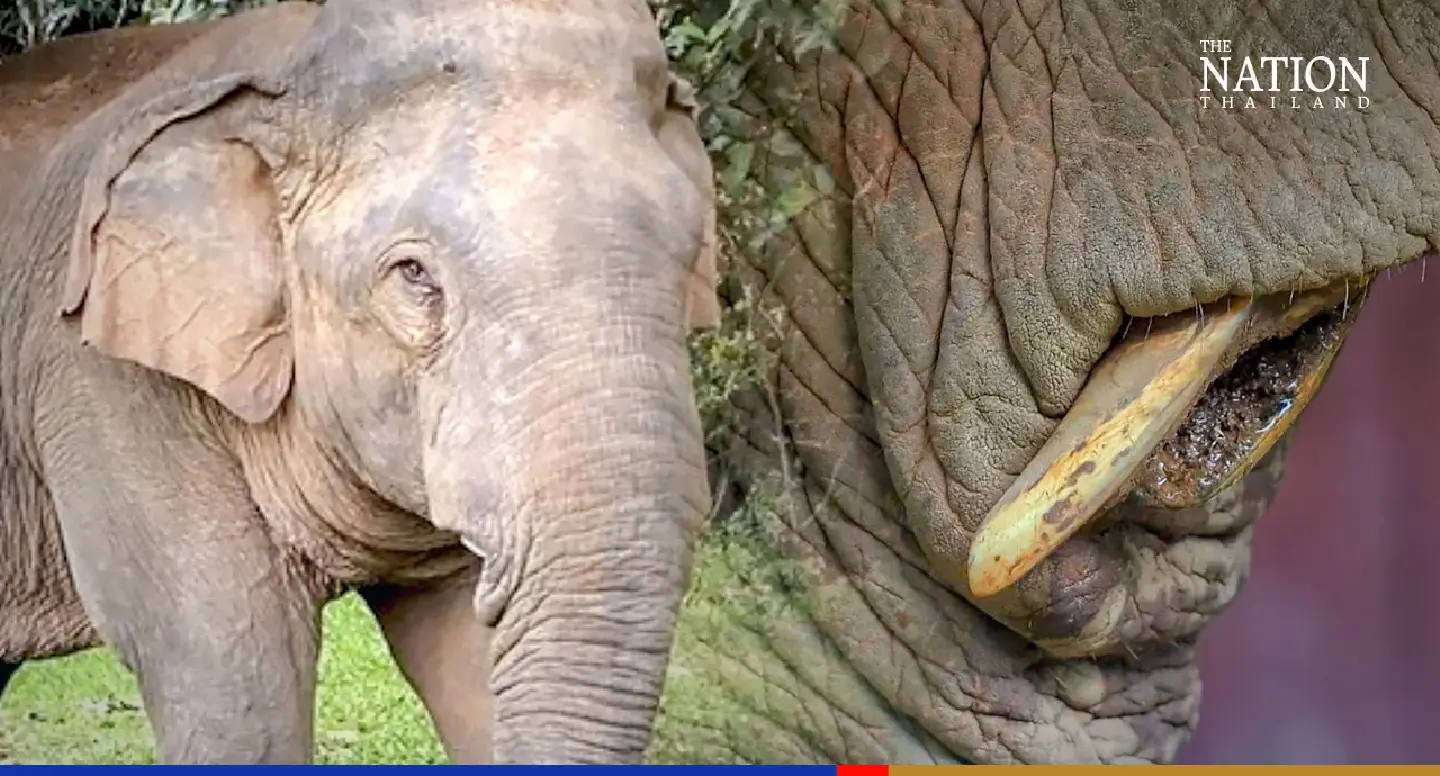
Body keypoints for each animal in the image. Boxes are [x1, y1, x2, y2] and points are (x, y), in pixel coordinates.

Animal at [0, 0, 719, 764]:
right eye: (414, 275)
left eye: (689, 253)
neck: (284, 54)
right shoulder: (106, 388)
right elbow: (234, 689)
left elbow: (465, 666)